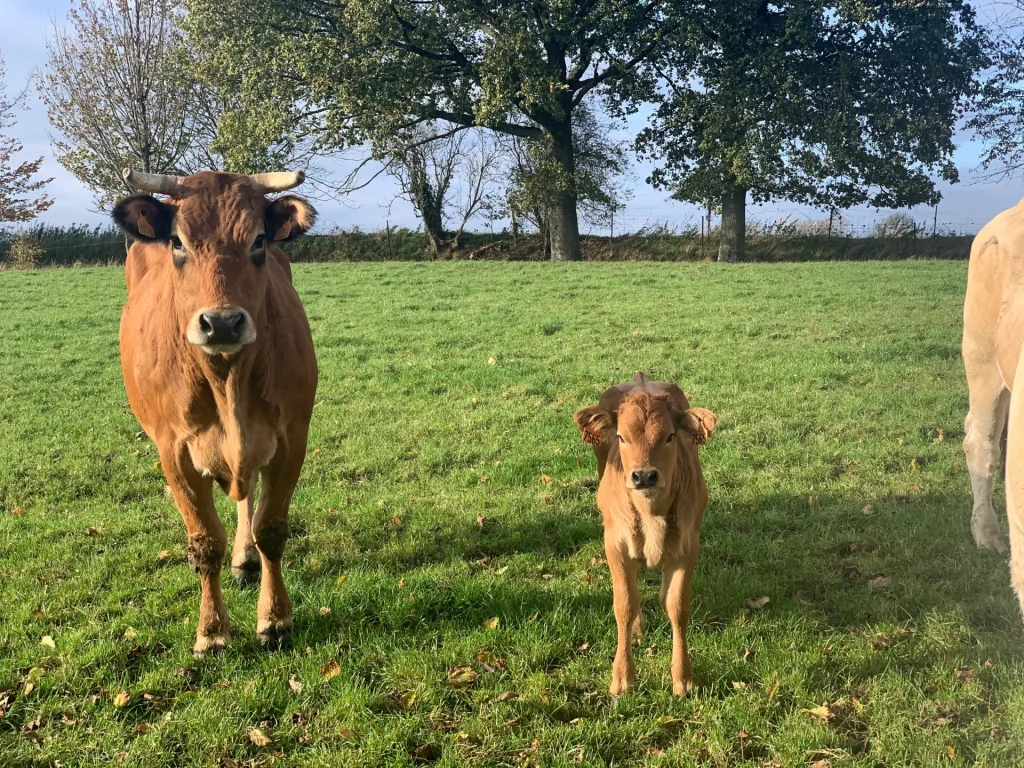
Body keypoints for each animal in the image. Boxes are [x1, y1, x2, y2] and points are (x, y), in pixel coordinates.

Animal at [112, 169, 318, 656]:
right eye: (178, 242)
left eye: (259, 240)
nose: (222, 322)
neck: (228, 382)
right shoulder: (174, 451)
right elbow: (204, 542)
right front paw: (211, 631)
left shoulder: (291, 438)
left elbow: (270, 529)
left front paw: (275, 620)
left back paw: (245, 560)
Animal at [573, 373, 717, 696]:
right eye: (621, 437)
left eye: (670, 436)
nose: (644, 476)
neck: (651, 516)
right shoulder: (615, 546)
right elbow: (625, 605)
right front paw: (623, 677)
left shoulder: (687, 546)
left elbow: (677, 606)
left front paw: (682, 678)